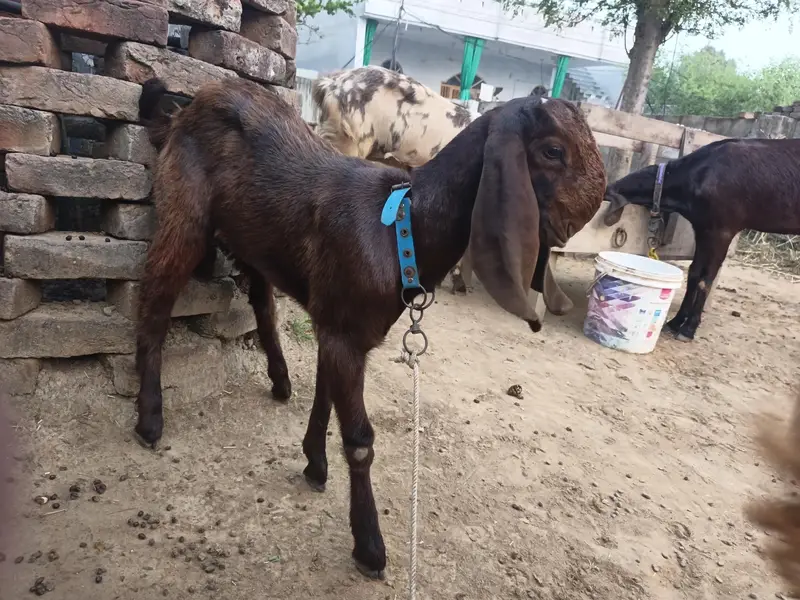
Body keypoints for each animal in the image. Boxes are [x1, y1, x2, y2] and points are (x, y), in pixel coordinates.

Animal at [604, 138, 800, 341]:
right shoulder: (702, 228)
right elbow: (694, 273)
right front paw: (675, 322)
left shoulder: (722, 231)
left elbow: (706, 279)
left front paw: (688, 329)